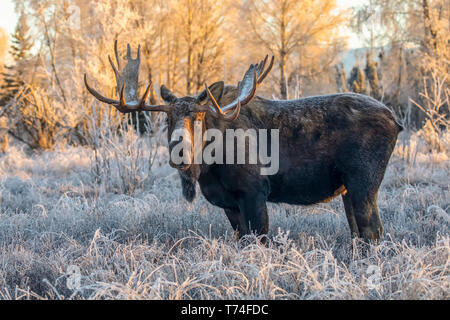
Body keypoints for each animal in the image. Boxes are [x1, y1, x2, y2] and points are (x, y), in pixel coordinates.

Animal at [84, 42, 400, 242]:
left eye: (199, 117)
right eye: (166, 119)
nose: (180, 150)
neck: (209, 167)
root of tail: (396, 121)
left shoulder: (255, 192)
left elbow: (259, 241)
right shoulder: (230, 204)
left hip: (364, 182)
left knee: (373, 231)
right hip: (348, 188)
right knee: (359, 232)